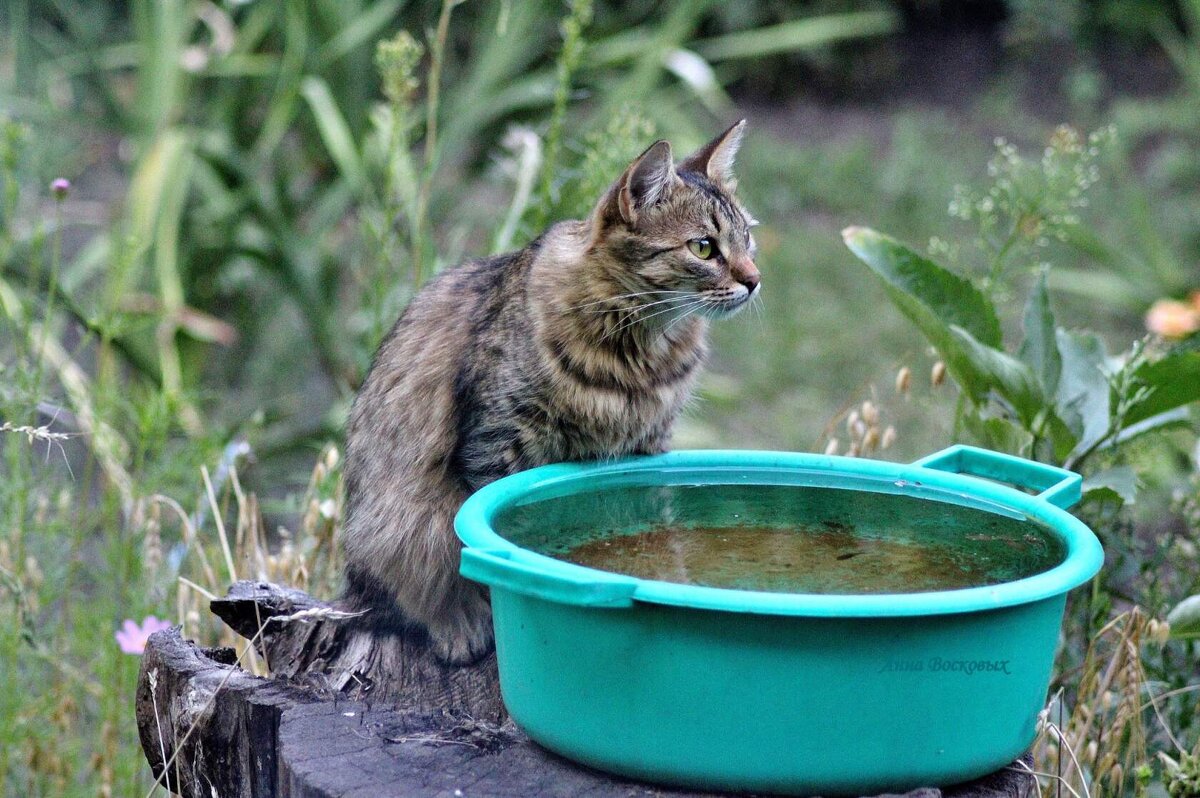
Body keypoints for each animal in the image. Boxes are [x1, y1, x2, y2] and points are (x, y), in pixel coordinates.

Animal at [343, 118, 758, 662]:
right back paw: (455, 626)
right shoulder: (497, 444)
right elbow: (489, 564)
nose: (754, 280)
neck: (639, 353)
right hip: (393, 524)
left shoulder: (646, 451)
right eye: (704, 247)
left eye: (747, 239)